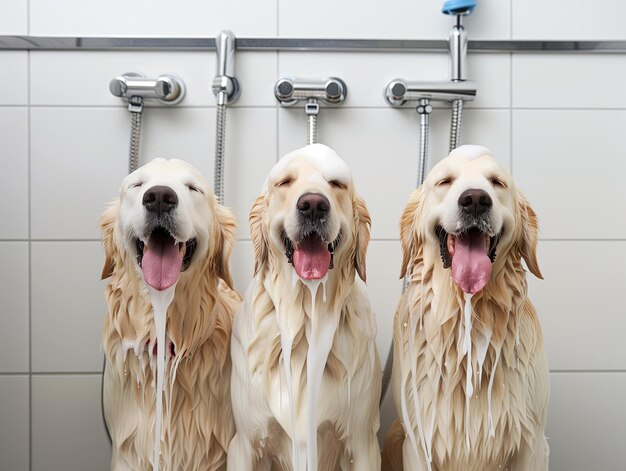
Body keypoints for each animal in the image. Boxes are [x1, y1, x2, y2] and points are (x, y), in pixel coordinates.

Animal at [228, 144, 380, 471]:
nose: (312, 205)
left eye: (336, 184)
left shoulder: (363, 443)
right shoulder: (244, 443)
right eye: (285, 182)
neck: (306, 319)